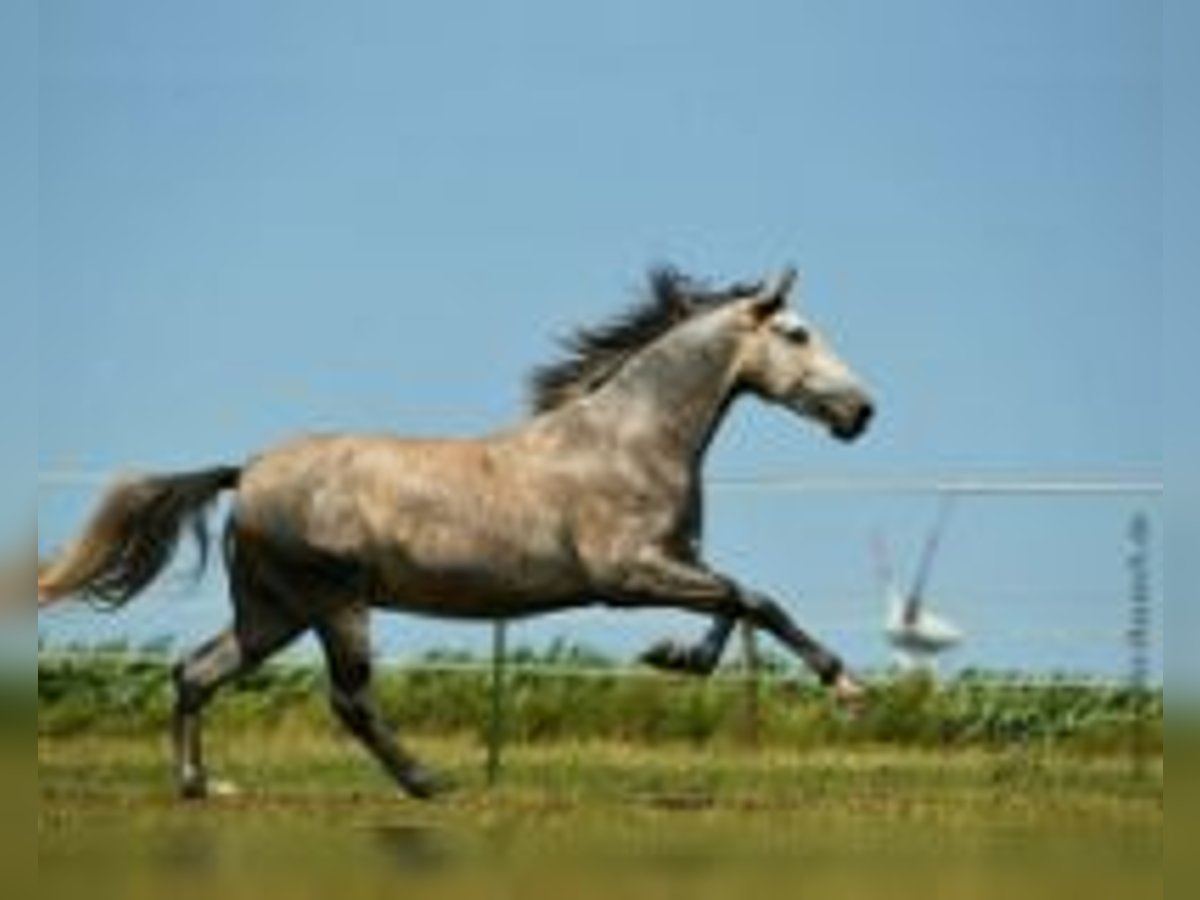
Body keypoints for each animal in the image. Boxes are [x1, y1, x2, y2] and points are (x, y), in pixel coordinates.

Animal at [38, 266, 875, 800]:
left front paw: (674, 657)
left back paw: (198, 786)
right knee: (348, 700)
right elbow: (753, 599)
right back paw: (427, 782)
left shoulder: (671, 563)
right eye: (797, 333)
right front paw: (847, 687)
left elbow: (733, 603)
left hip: (273, 612)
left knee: (195, 672)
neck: (628, 440)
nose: (862, 411)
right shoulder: (628, 575)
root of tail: (246, 474)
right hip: (335, 602)